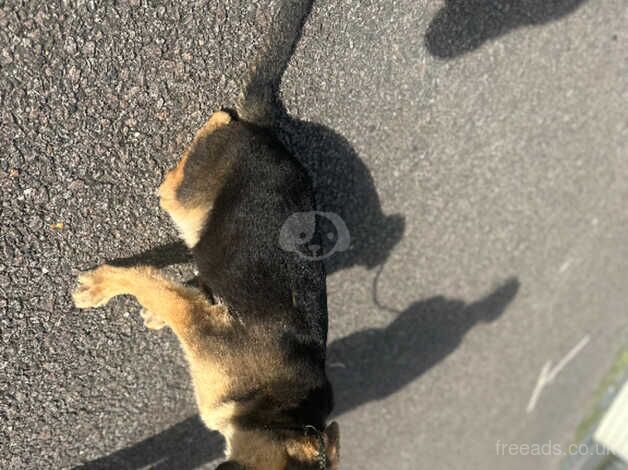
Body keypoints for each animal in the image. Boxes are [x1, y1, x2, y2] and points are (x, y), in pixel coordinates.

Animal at [72, 1, 344, 468]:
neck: (283, 419)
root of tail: (269, 134)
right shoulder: (200, 324)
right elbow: (149, 285)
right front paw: (103, 285)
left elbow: (163, 290)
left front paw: (146, 303)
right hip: (185, 194)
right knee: (207, 135)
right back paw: (218, 121)